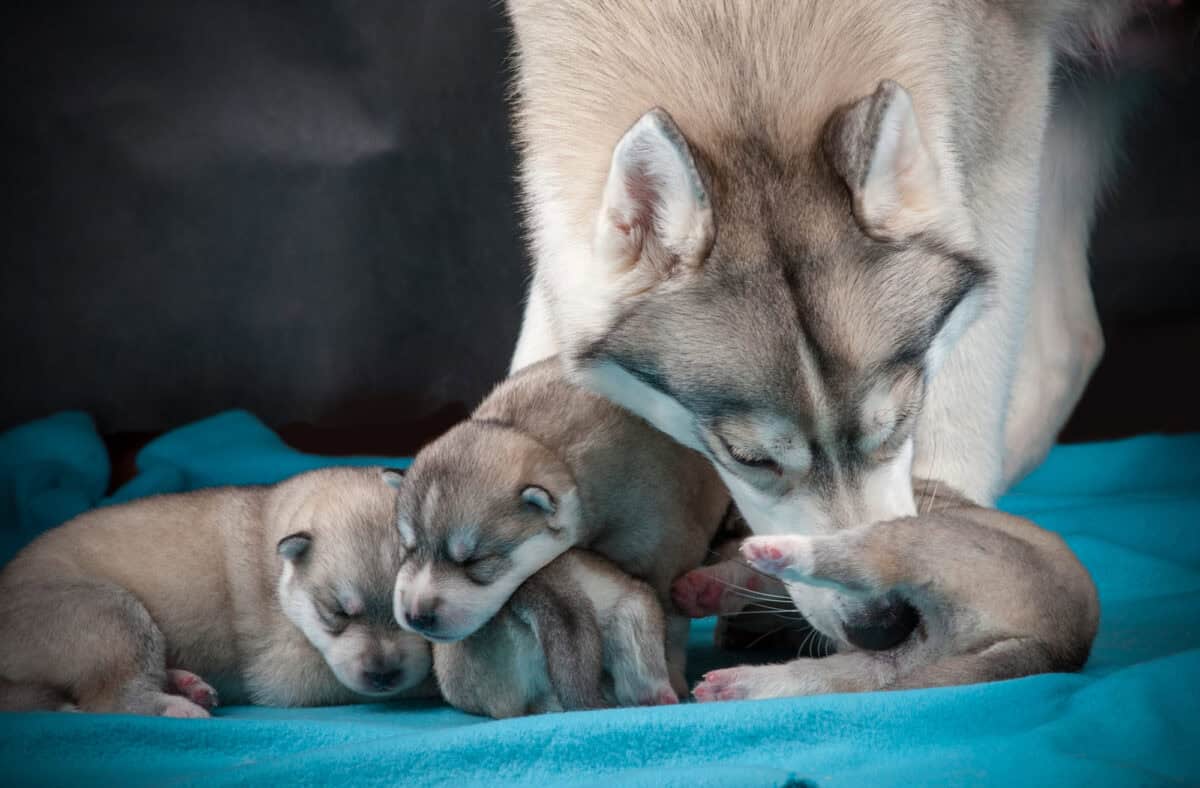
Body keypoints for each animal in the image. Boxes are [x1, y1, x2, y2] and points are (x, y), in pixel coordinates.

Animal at [0, 462, 436, 714]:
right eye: (337, 613)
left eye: (413, 617)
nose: (384, 675)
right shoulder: (288, 671)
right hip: (109, 612)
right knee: (110, 699)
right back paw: (178, 708)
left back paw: (186, 685)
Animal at [398, 357, 724, 695]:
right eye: (407, 549)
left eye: (476, 561)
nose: (416, 615)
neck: (546, 448)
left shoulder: (665, 553)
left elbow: (670, 622)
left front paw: (673, 674)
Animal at [676, 479, 1099, 700]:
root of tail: (1057, 648)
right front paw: (706, 592)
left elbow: (749, 572)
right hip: (893, 664)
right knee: (828, 678)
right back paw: (732, 686)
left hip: (917, 538)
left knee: (859, 559)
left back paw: (779, 550)